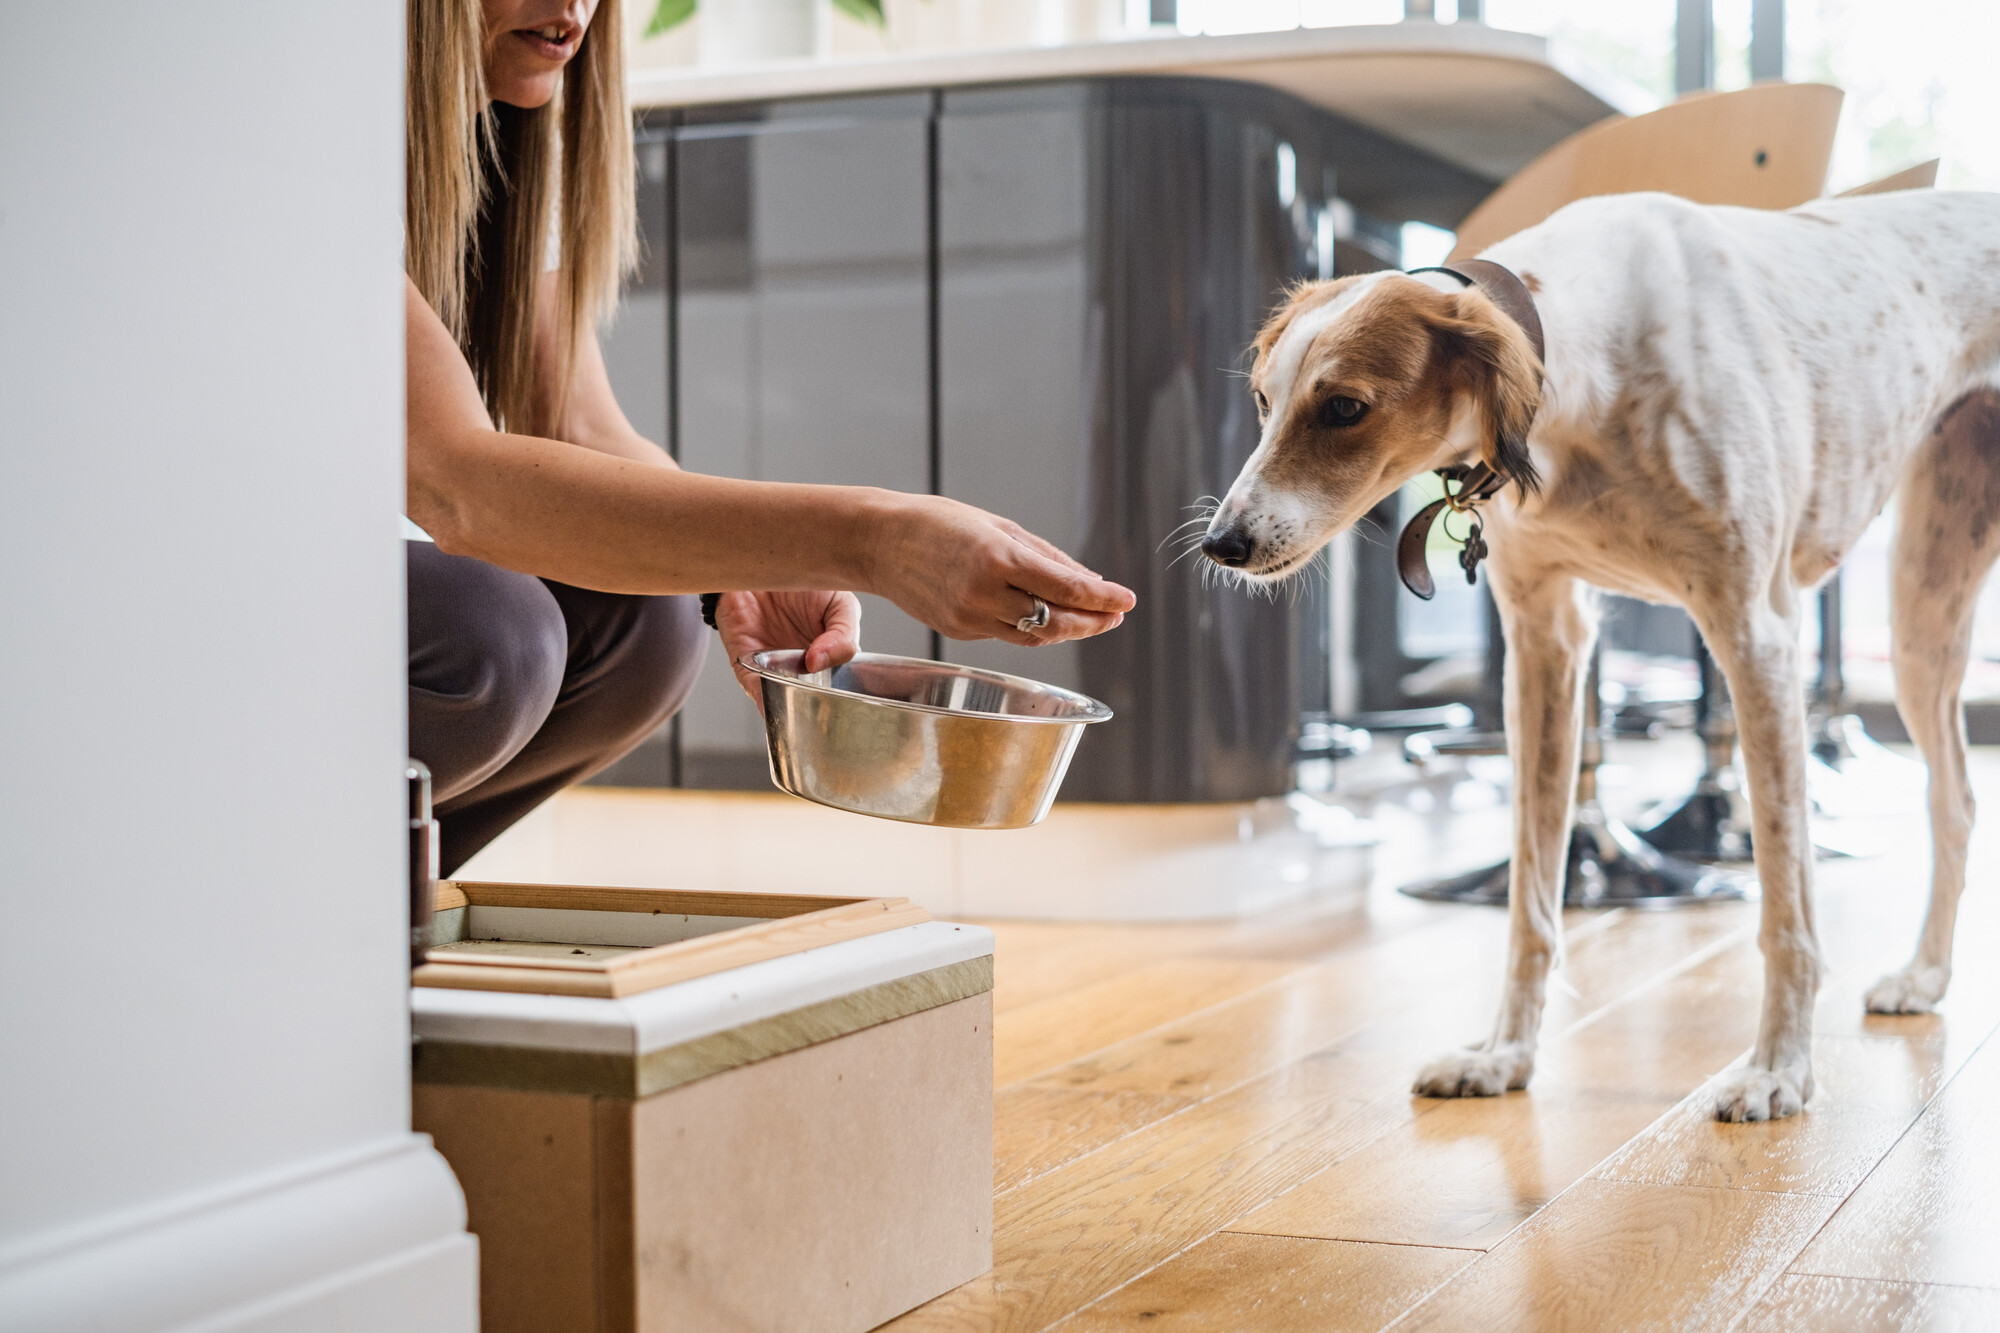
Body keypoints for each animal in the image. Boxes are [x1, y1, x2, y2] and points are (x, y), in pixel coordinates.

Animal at [1200, 187, 2000, 1112]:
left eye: (1344, 408)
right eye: (1263, 401)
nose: (1222, 544)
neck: (1590, 362)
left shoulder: (1754, 634)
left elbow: (1784, 900)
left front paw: (1780, 1067)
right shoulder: (1545, 642)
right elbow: (1532, 899)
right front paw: (1504, 1054)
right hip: (1923, 614)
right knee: (1957, 802)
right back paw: (1927, 975)